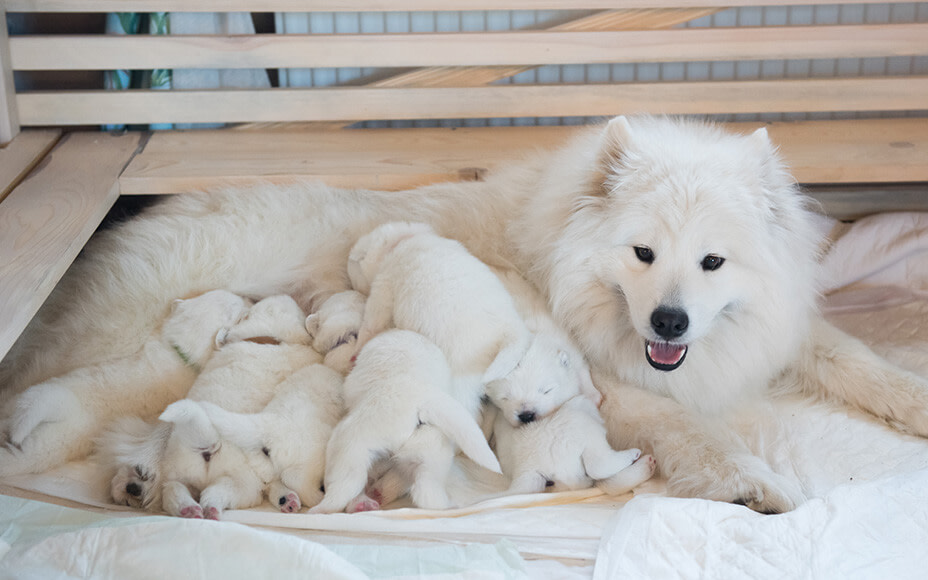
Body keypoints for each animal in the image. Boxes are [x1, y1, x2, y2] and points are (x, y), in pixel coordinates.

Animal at [310, 328, 500, 516]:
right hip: (430, 453)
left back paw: (322, 509)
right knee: (426, 492)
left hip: (350, 445)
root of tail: (421, 402)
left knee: (342, 491)